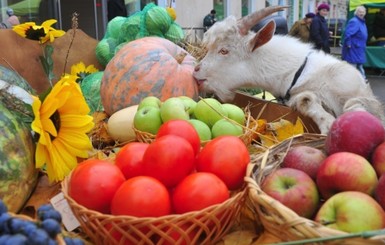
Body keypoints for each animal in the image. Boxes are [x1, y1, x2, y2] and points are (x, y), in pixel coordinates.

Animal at [194, 5, 384, 134]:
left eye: (224, 50)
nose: (196, 71)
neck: (297, 73)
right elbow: (305, 99)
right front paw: (328, 123)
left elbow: (356, 107)